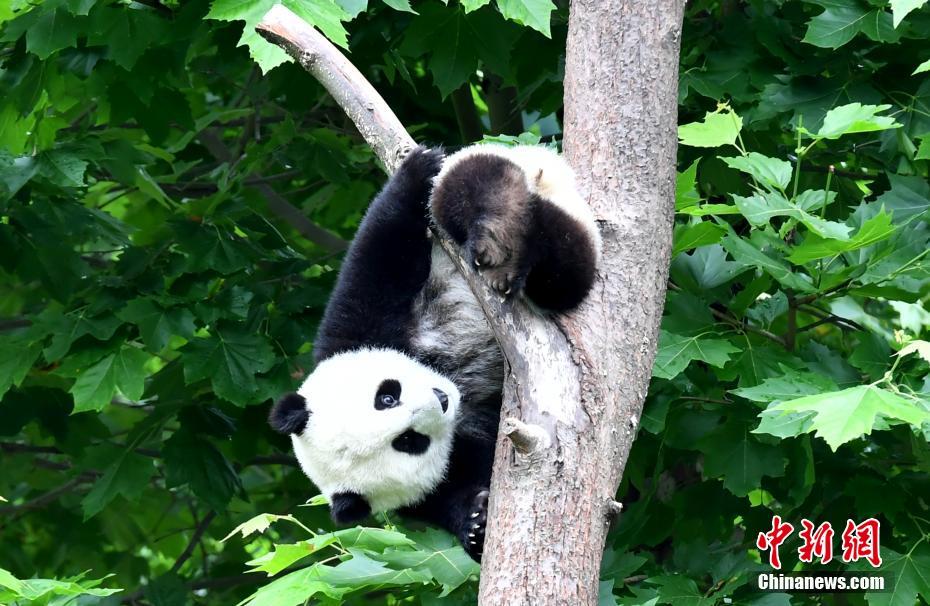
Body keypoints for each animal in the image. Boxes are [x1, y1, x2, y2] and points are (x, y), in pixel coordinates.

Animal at [268, 144, 600, 560]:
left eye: (386, 396)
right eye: (409, 441)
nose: (440, 400)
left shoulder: (351, 332)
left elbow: (378, 257)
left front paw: (412, 174)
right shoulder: (435, 478)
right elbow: (447, 495)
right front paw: (475, 523)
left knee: (471, 187)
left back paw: (499, 229)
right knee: (564, 273)